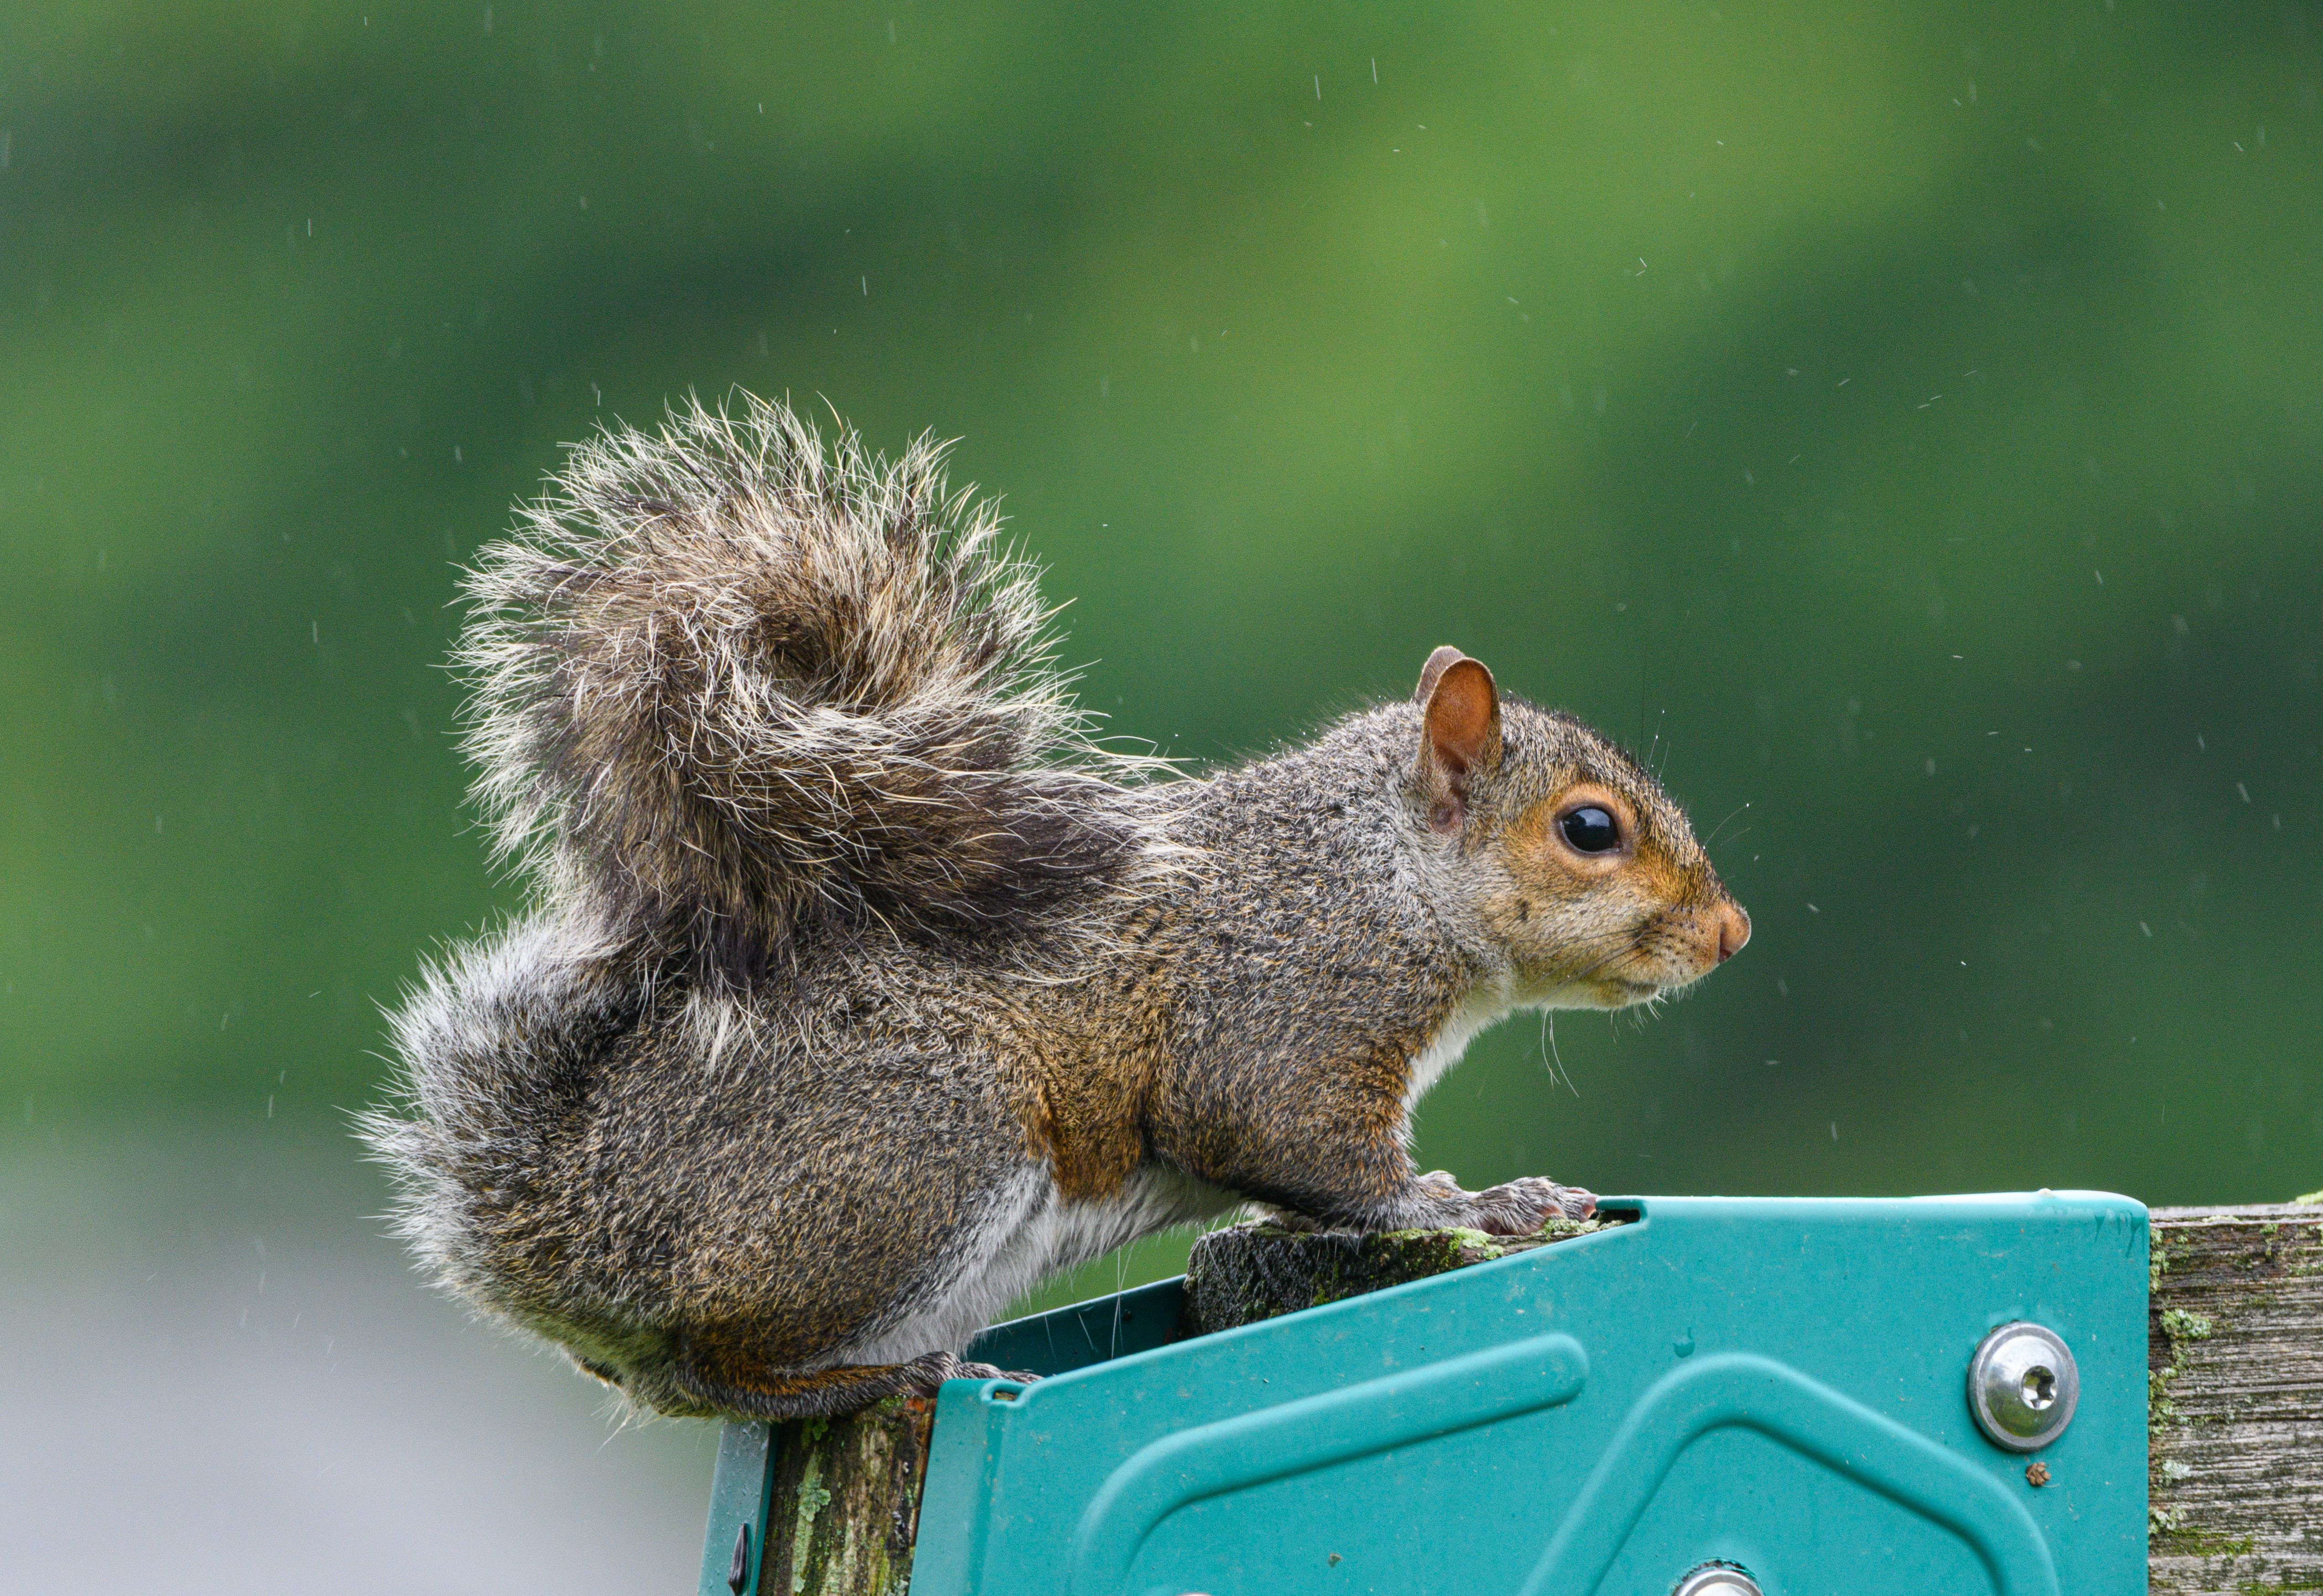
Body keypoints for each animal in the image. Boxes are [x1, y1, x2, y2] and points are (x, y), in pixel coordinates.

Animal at [362, 391, 1751, 1422]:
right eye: (1588, 829)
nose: (1728, 932)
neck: (1383, 873)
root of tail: (562, 1214)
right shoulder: (1287, 1011)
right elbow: (1304, 1146)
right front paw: (1473, 1205)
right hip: (917, 1148)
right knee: (710, 1366)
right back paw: (863, 1379)